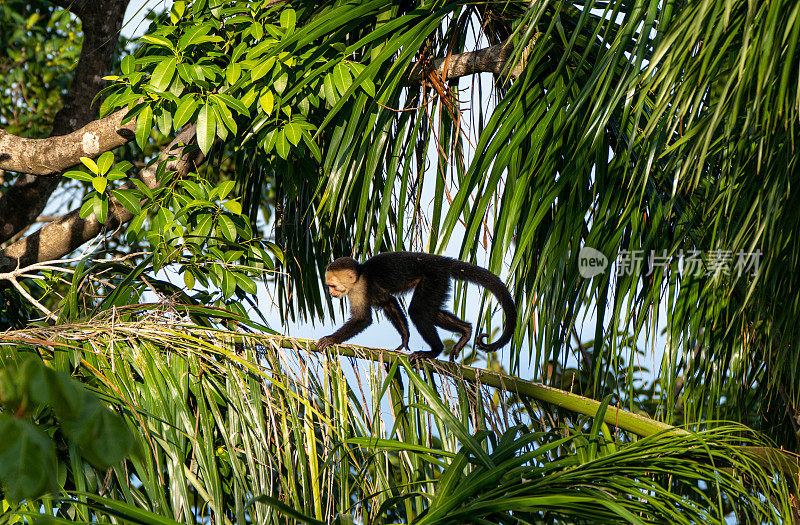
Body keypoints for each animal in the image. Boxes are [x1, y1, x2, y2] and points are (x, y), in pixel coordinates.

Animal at [318, 253, 520, 360]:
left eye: (333, 285)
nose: (331, 293)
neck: (361, 274)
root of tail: (440, 261)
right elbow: (388, 302)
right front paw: (405, 337)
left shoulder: (358, 289)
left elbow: (363, 319)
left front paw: (331, 339)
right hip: (441, 282)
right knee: (431, 313)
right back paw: (466, 331)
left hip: (433, 277)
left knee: (418, 311)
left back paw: (434, 351)